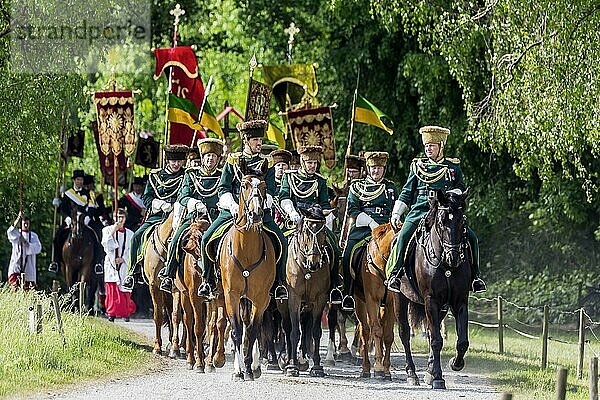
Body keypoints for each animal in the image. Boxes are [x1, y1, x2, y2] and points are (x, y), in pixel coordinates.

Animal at [218, 159, 276, 382]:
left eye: (264, 186)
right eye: (244, 185)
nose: (256, 214)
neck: (246, 251)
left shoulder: (260, 298)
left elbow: (252, 332)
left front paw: (250, 369)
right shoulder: (231, 295)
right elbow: (236, 331)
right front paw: (238, 371)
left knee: (256, 329)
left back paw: (256, 365)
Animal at [396, 189, 472, 390]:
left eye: (461, 220)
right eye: (441, 221)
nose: (454, 257)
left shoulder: (459, 301)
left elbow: (462, 341)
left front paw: (454, 363)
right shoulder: (431, 300)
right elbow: (437, 340)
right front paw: (438, 377)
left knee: (431, 332)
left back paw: (428, 371)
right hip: (399, 298)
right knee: (404, 333)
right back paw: (412, 373)